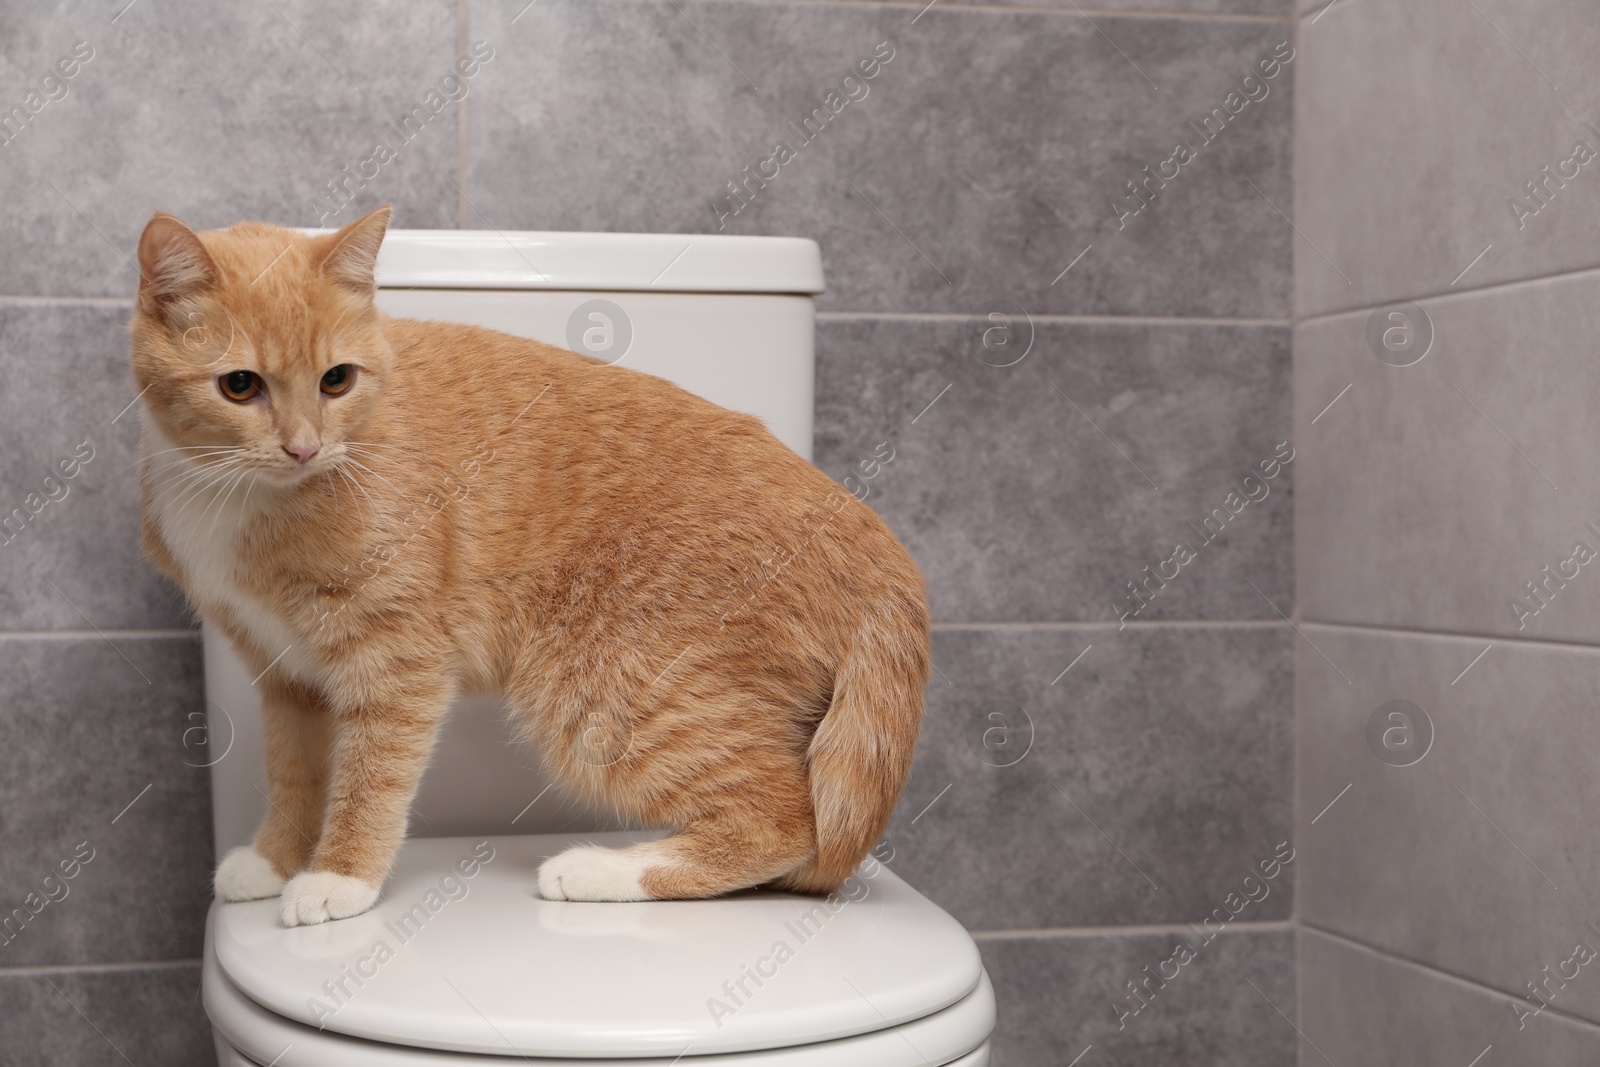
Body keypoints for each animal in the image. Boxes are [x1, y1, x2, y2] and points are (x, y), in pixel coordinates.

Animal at [131, 207, 934, 927]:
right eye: (240, 386)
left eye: (337, 380)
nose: (304, 447)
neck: (239, 493)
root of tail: (876, 543)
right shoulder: (285, 674)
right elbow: (295, 774)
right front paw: (274, 860)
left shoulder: (397, 660)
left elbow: (371, 776)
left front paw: (339, 878)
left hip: (609, 696)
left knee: (785, 822)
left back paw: (605, 871)